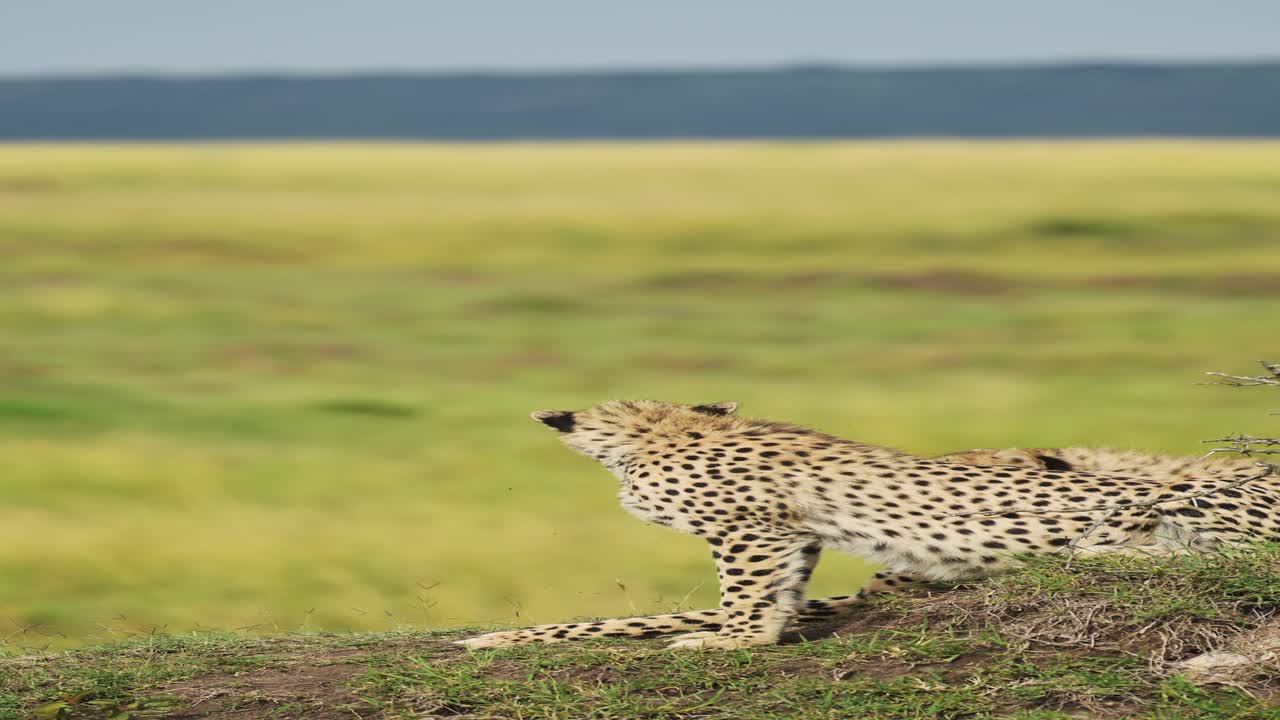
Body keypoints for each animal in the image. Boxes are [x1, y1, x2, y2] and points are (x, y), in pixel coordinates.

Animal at [458, 400, 1278, 650]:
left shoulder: (752, 528)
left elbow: (733, 605)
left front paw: (730, 642)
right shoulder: (796, 539)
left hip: (1193, 499)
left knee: (1220, 558)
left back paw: (1095, 557)